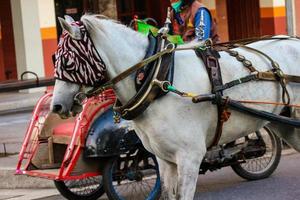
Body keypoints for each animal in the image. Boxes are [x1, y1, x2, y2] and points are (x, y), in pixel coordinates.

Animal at [51, 14, 300, 199]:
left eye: (68, 62)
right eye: (55, 59)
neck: (156, 81)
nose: (56, 106)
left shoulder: (190, 157)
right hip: (286, 125)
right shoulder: (164, 159)